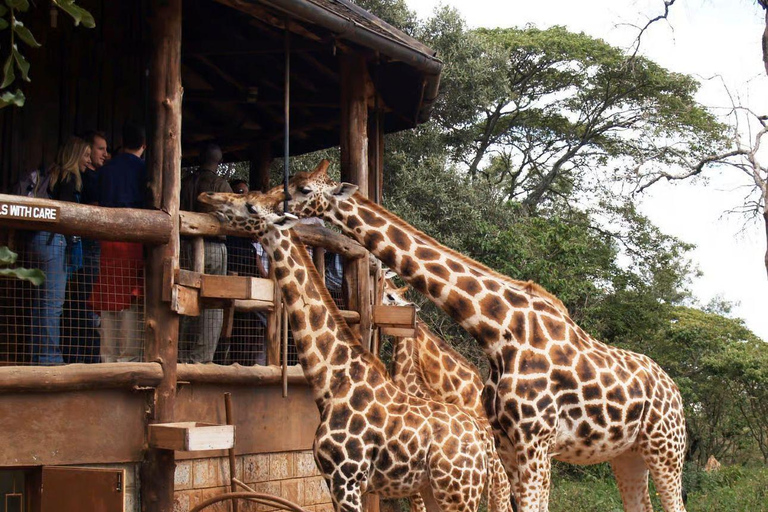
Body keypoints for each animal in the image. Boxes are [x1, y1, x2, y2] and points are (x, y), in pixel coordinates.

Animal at [198, 189, 490, 512]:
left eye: (250, 206)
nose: (208, 196)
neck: (331, 381)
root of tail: (480, 438)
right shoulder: (333, 480)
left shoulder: (346, 479)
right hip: (435, 488)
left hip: (457, 490)